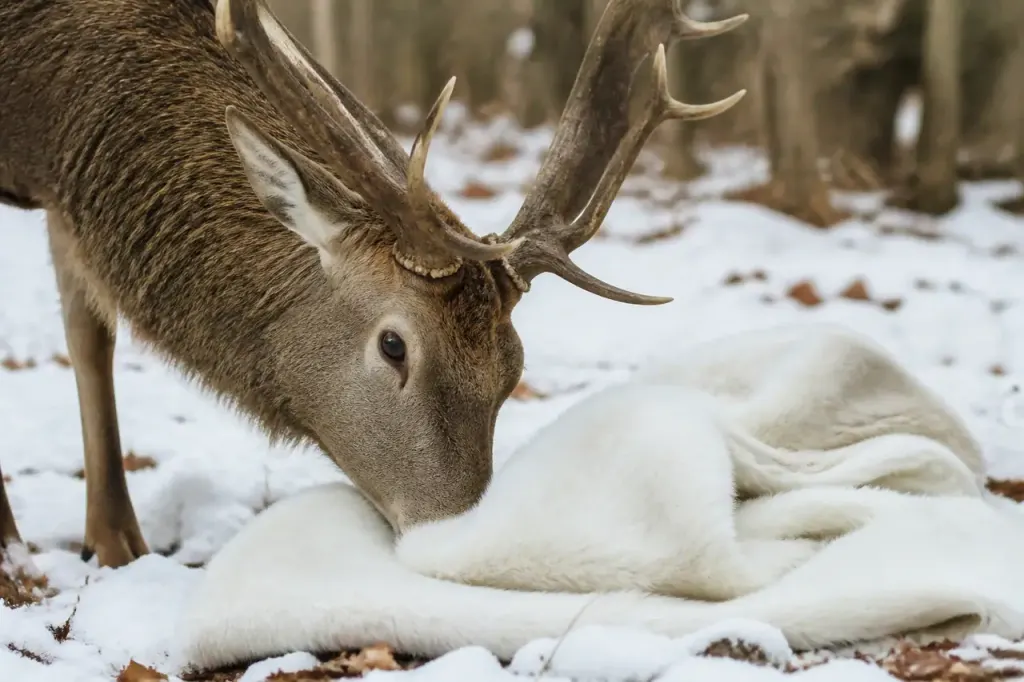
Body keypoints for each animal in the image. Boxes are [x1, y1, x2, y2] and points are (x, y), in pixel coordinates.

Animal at [0, 0, 746, 568]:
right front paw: (14, 555)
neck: (41, 108)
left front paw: (114, 542)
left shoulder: (67, 197)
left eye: (514, 367)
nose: (461, 539)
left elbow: (89, 334)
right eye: (394, 346)